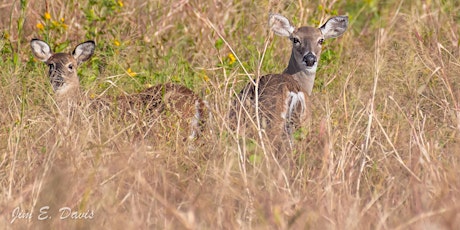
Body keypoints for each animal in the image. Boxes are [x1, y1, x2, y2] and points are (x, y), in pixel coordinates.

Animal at [230, 13, 348, 152]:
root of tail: (293, 90)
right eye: (295, 39)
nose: (310, 59)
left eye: (321, 40)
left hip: (273, 120)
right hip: (302, 122)